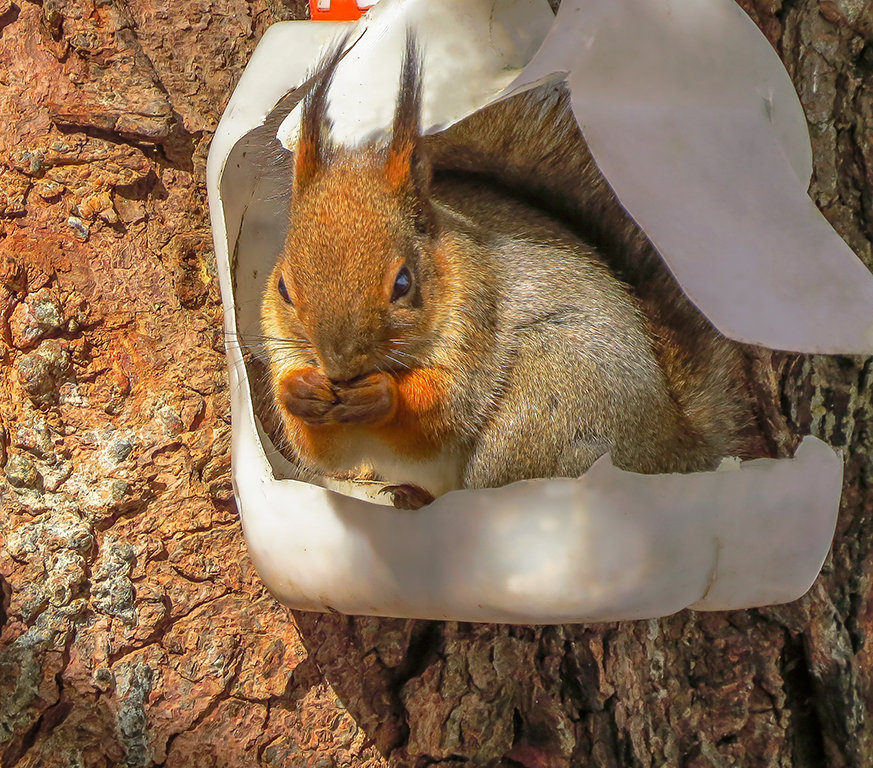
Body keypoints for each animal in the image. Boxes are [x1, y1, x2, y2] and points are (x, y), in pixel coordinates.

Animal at [260, 40, 748, 510]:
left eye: (403, 283)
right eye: (283, 287)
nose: (339, 369)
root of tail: (670, 444)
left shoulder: (478, 316)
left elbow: (445, 411)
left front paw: (382, 395)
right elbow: (322, 451)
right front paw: (299, 392)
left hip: (545, 406)